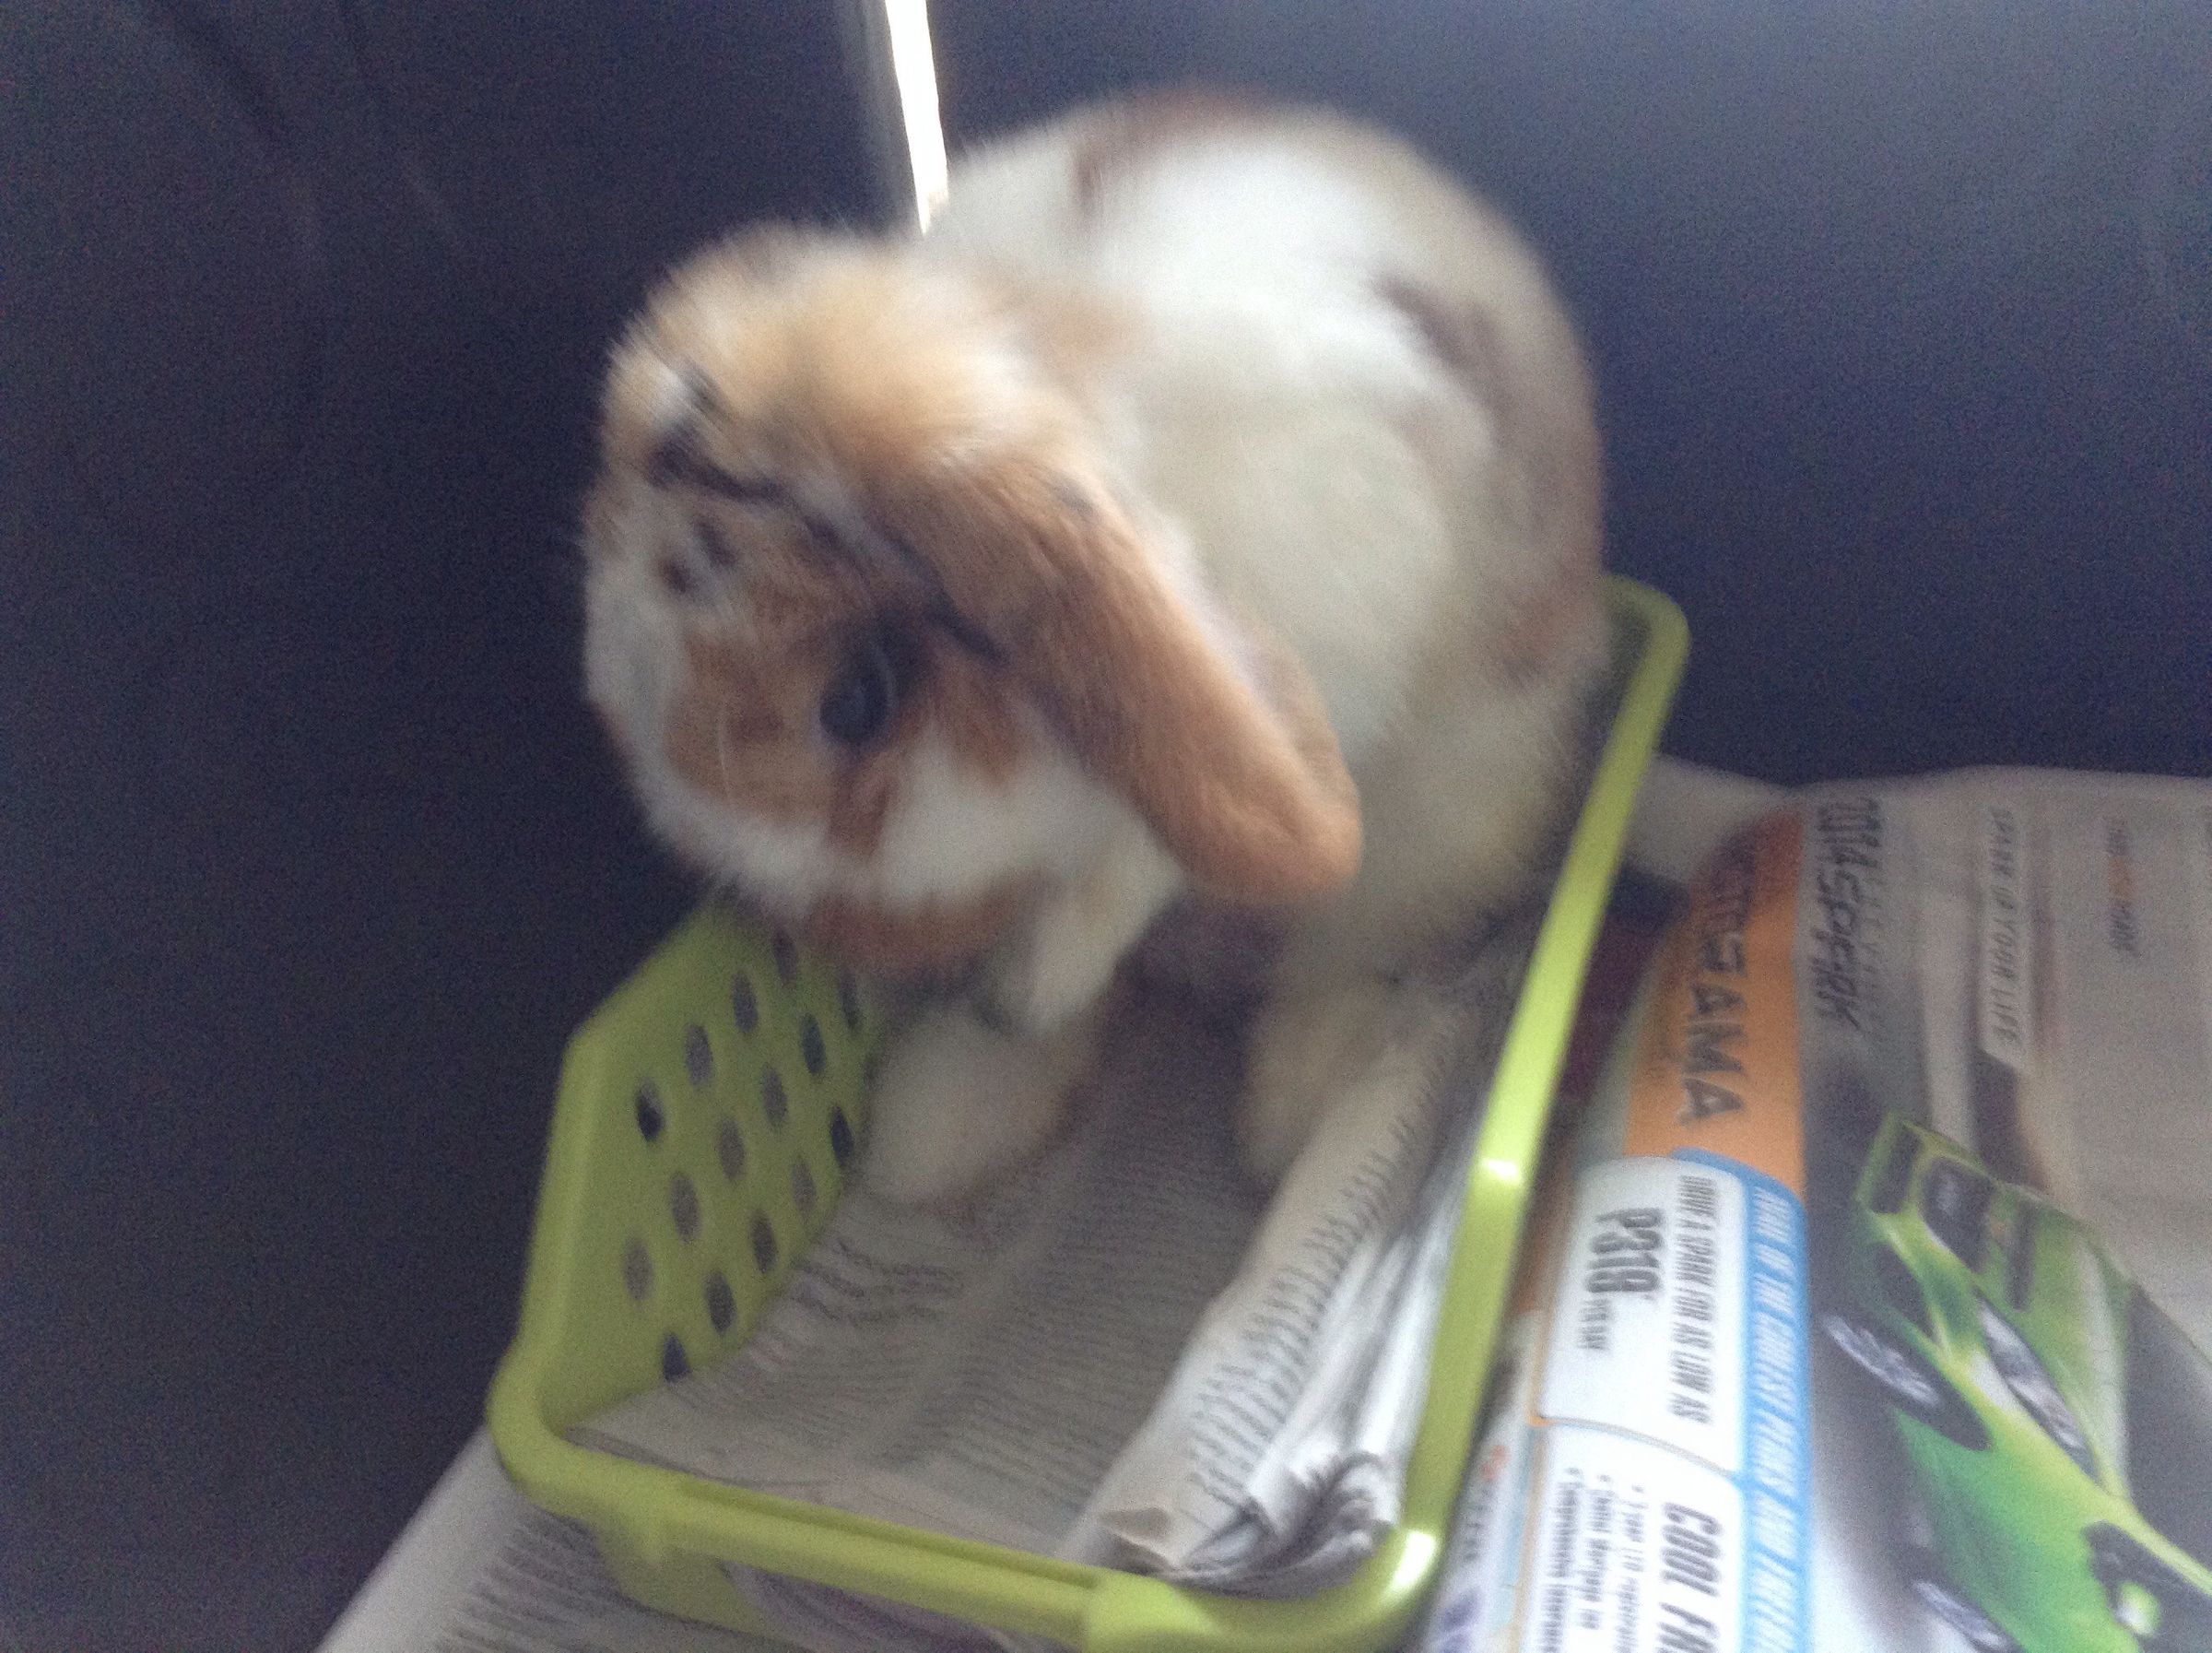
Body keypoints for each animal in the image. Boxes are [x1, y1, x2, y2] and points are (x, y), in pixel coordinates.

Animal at [579, 93, 1607, 1206]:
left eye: (857, 699)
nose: (956, 971)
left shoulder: (1342, 626)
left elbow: (1151, 840)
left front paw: (1039, 973)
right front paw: (1014, 1003)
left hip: (1442, 834)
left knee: (1343, 952)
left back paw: (1289, 1113)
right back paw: (938, 1125)